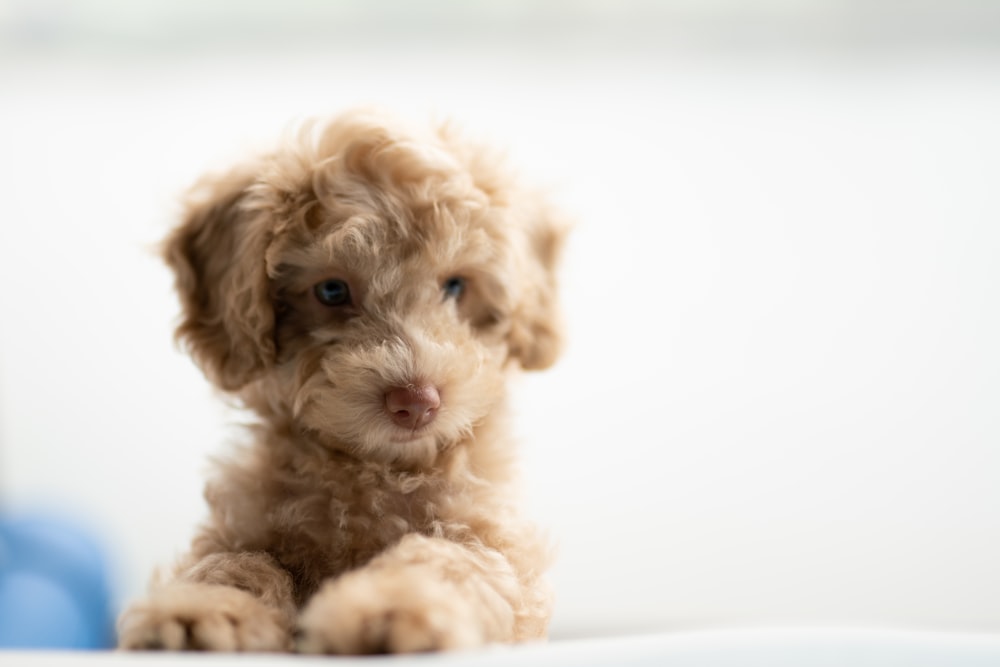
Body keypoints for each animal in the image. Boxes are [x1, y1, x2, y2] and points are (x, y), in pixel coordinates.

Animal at [117, 112, 568, 656]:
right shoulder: (243, 528)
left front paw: (392, 609)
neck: (371, 471)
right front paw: (198, 610)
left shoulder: (493, 541)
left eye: (456, 286)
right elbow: (235, 564)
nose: (416, 402)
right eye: (332, 291)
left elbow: (445, 559)